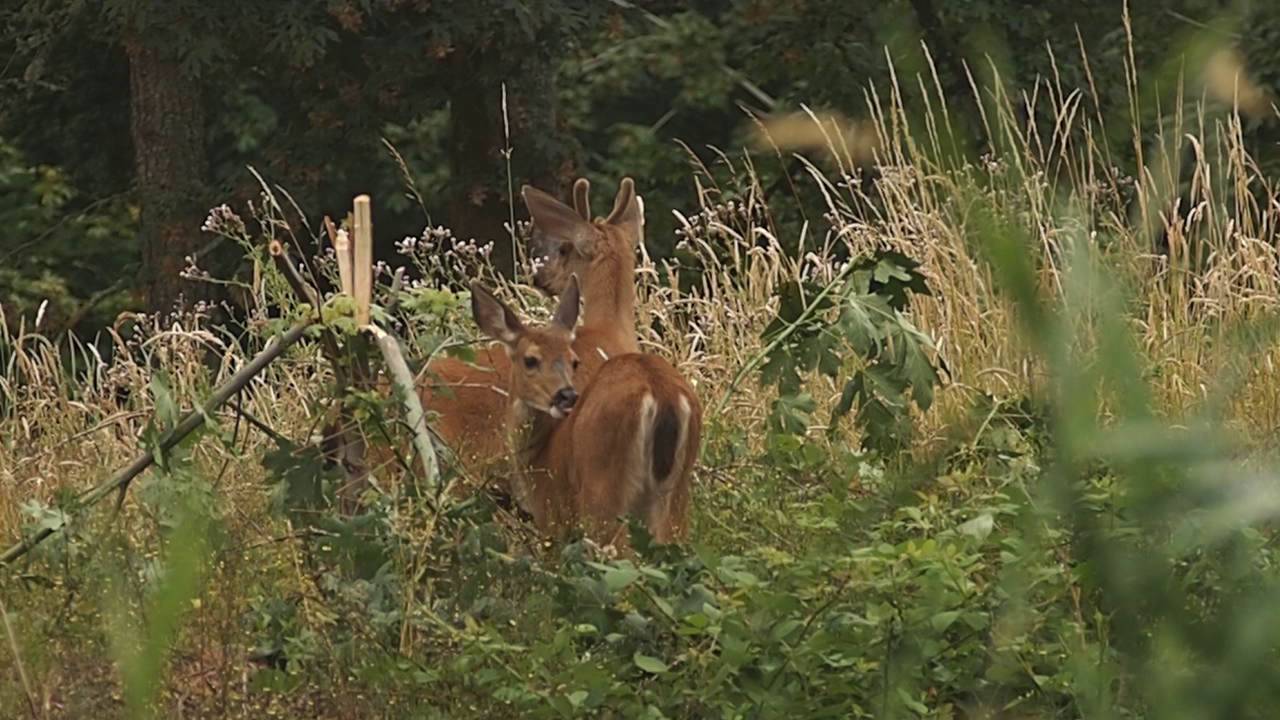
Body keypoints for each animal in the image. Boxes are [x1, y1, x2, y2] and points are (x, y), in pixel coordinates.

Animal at [469, 277, 701, 544]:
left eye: (574, 361)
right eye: (530, 360)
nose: (567, 396)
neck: (540, 455)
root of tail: (660, 391)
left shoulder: (552, 517)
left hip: (602, 493)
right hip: (676, 495)